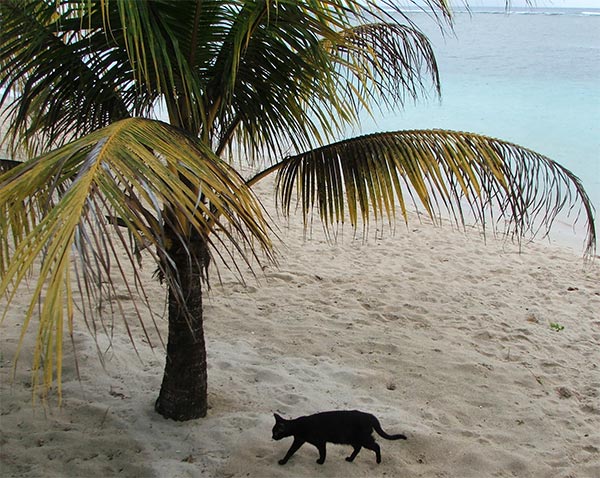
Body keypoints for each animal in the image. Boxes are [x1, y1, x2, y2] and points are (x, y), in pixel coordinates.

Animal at [272, 408, 408, 464]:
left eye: (276, 432)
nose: (272, 437)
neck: (298, 425)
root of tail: (370, 415)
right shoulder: (299, 440)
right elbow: (290, 451)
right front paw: (284, 461)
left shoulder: (320, 442)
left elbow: (323, 452)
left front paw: (321, 462)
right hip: (352, 439)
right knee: (358, 448)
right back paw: (350, 459)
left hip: (363, 439)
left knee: (377, 446)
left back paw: (378, 461)